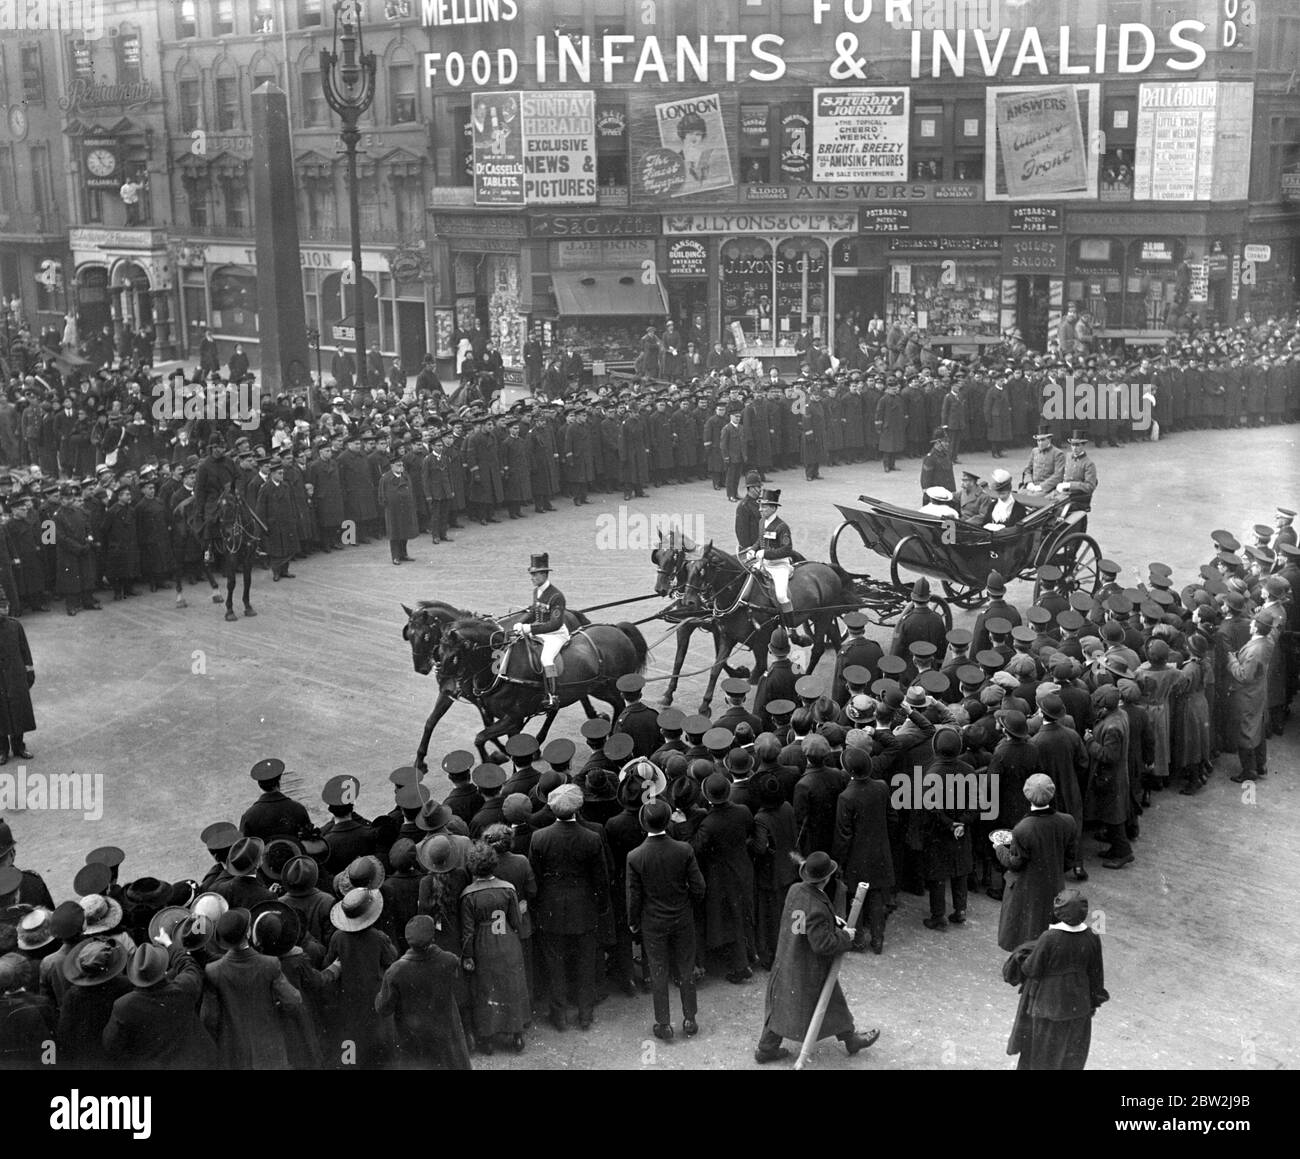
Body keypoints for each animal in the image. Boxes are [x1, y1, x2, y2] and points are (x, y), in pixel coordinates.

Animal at [403, 597, 592, 769]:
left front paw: (500, 753)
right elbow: (431, 721)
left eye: (426, 635)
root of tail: (570, 613)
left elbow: (490, 727)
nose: (420, 668)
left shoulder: (480, 699)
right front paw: (420, 760)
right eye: (409, 635)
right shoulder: (450, 692)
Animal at [436, 615, 650, 758]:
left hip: (612, 684)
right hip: (598, 688)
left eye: (453, 656)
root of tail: (617, 629)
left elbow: (480, 738)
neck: (502, 665)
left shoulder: (513, 718)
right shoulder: (510, 721)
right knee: (616, 704)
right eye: (438, 650)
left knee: (621, 705)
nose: (446, 689)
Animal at [650, 530, 754, 712]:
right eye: (658, 555)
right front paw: (668, 694)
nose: (660, 588)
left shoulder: (717, 628)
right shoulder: (688, 627)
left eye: (674, 555)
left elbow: (719, 658)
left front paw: (738, 672)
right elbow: (679, 660)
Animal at [681, 548, 852, 712]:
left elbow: (761, 670)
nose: (688, 601)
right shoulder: (727, 637)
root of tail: (826, 567)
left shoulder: (761, 640)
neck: (742, 596)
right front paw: (705, 705)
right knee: (835, 637)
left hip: (824, 616)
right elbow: (716, 668)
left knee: (818, 649)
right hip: (822, 617)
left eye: (702, 570)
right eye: (686, 568)